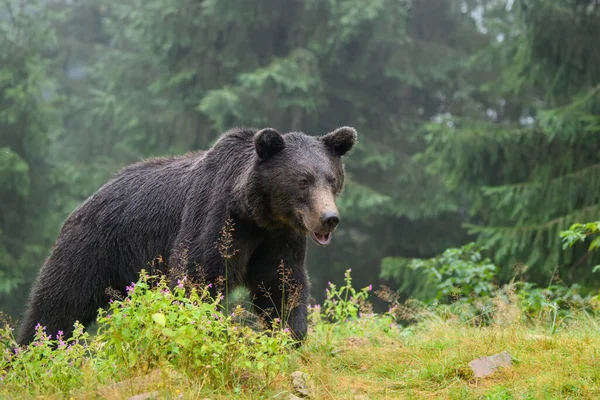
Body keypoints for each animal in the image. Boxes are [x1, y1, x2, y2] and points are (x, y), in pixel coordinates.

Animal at [17, 126, 356, 344]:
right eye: (303, 181)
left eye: (332, 179)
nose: (329, 219)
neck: (255, 213)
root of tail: (87, 200)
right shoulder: (217, 217)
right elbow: (196, 277)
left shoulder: (278, 238)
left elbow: (282, 285)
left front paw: (289, 334)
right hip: (93, 248)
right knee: (59, 304)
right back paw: (33, 350)